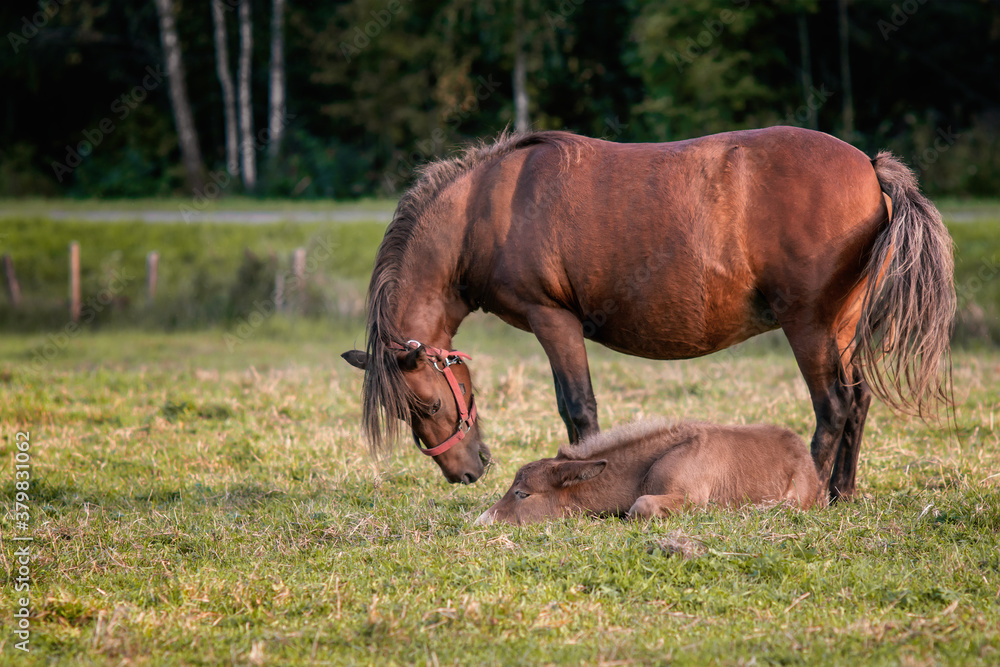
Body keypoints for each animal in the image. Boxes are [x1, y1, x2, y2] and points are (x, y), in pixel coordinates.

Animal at [341, 126, 955, 500]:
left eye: (425, 404)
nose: (465, 472)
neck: (486, 207)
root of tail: (870, 167)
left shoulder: (553, 320)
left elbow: (579, 411)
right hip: (841, 330)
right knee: (858, 402)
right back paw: (841, 493)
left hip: (808, 326)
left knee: (833, 408)